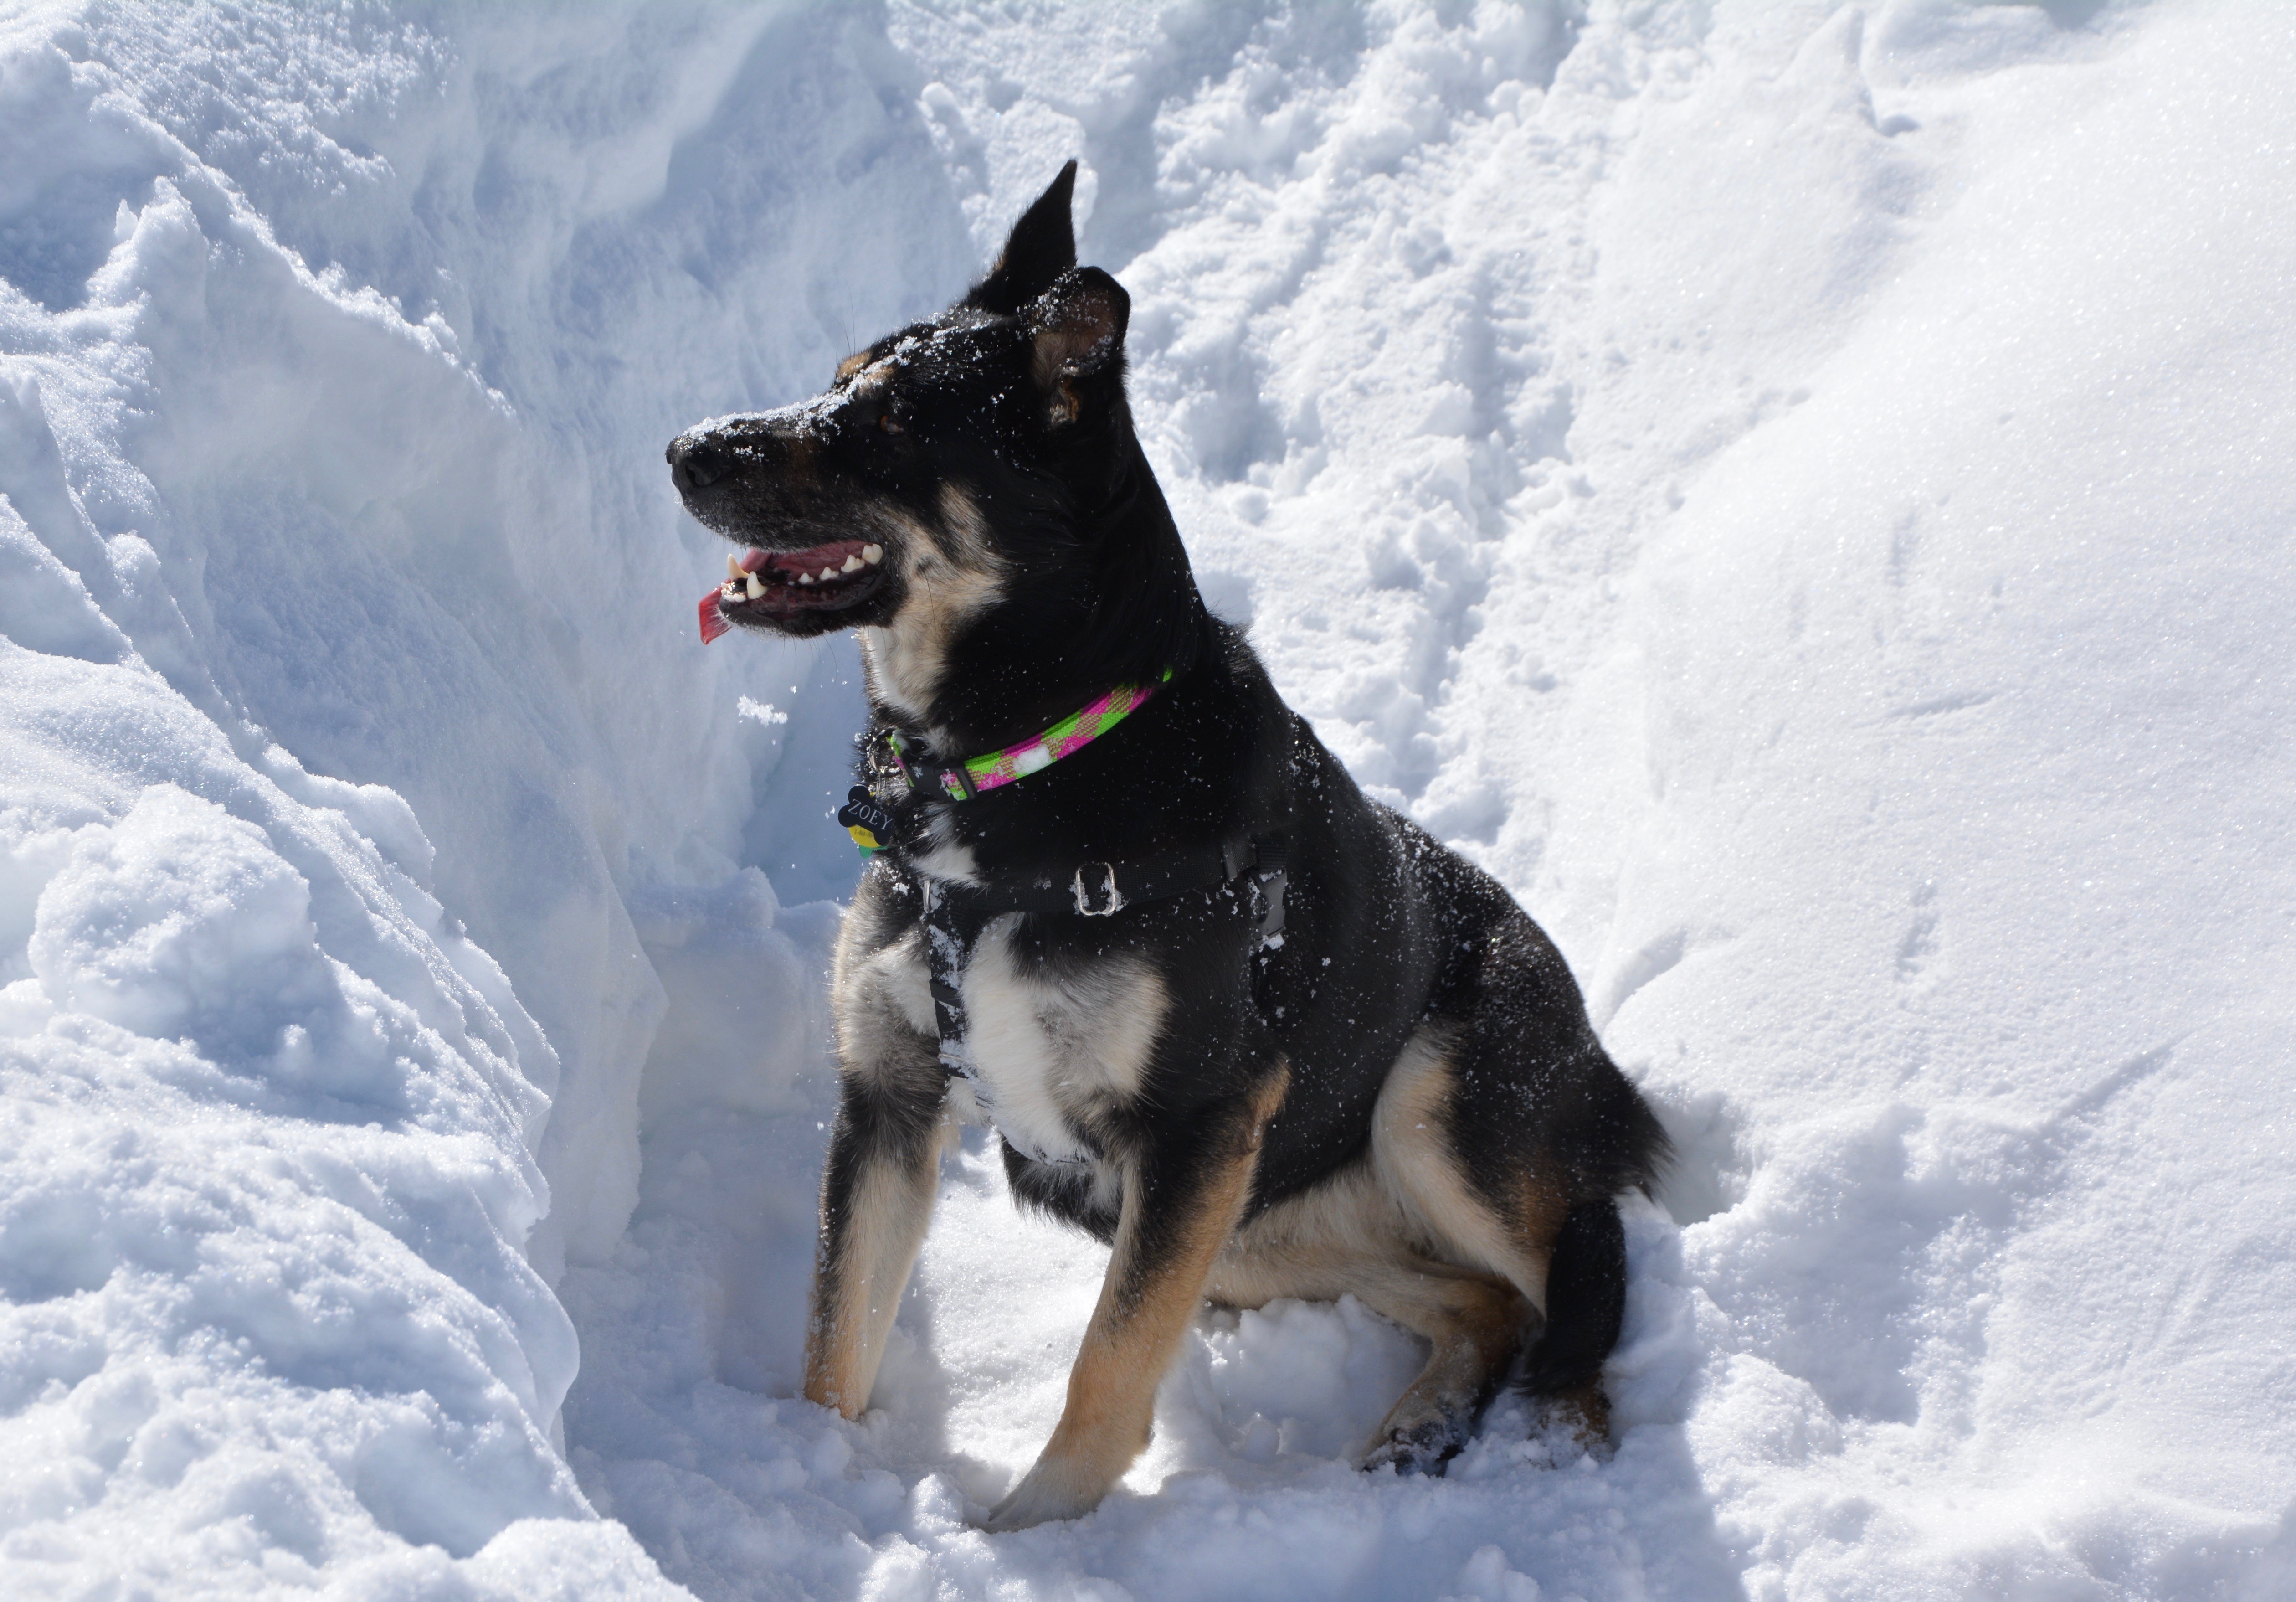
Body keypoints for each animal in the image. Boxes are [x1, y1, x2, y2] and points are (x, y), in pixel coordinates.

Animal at [667, 162, 1668, 1531]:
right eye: (834, 378)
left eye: (883, 425)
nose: (680, 450)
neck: (1028, 760)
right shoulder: (890, 1097)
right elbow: (835, 1332)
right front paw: (819, 1493)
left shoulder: (1195, 1121)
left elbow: (1108, 1358)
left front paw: (1025, 1538)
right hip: (1245, 1225)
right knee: (1481, 1301)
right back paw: (1419, 1423)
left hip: (1424, 1111)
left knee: (1579, 1277)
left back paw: (1559, 1438)